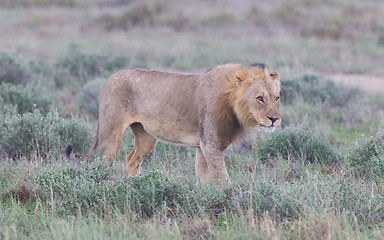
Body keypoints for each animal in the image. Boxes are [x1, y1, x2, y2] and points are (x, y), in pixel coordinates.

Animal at [67, 63, 280, 186]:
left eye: (277, 97)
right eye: (260, 98)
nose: (274, 119)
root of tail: (109, 78)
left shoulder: (203, 147)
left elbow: (204, 178)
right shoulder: (211, 146)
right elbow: (223, 179)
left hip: (146, 137)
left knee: (132, 159)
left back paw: (138, 185)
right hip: (111, 134)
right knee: (102, 164)